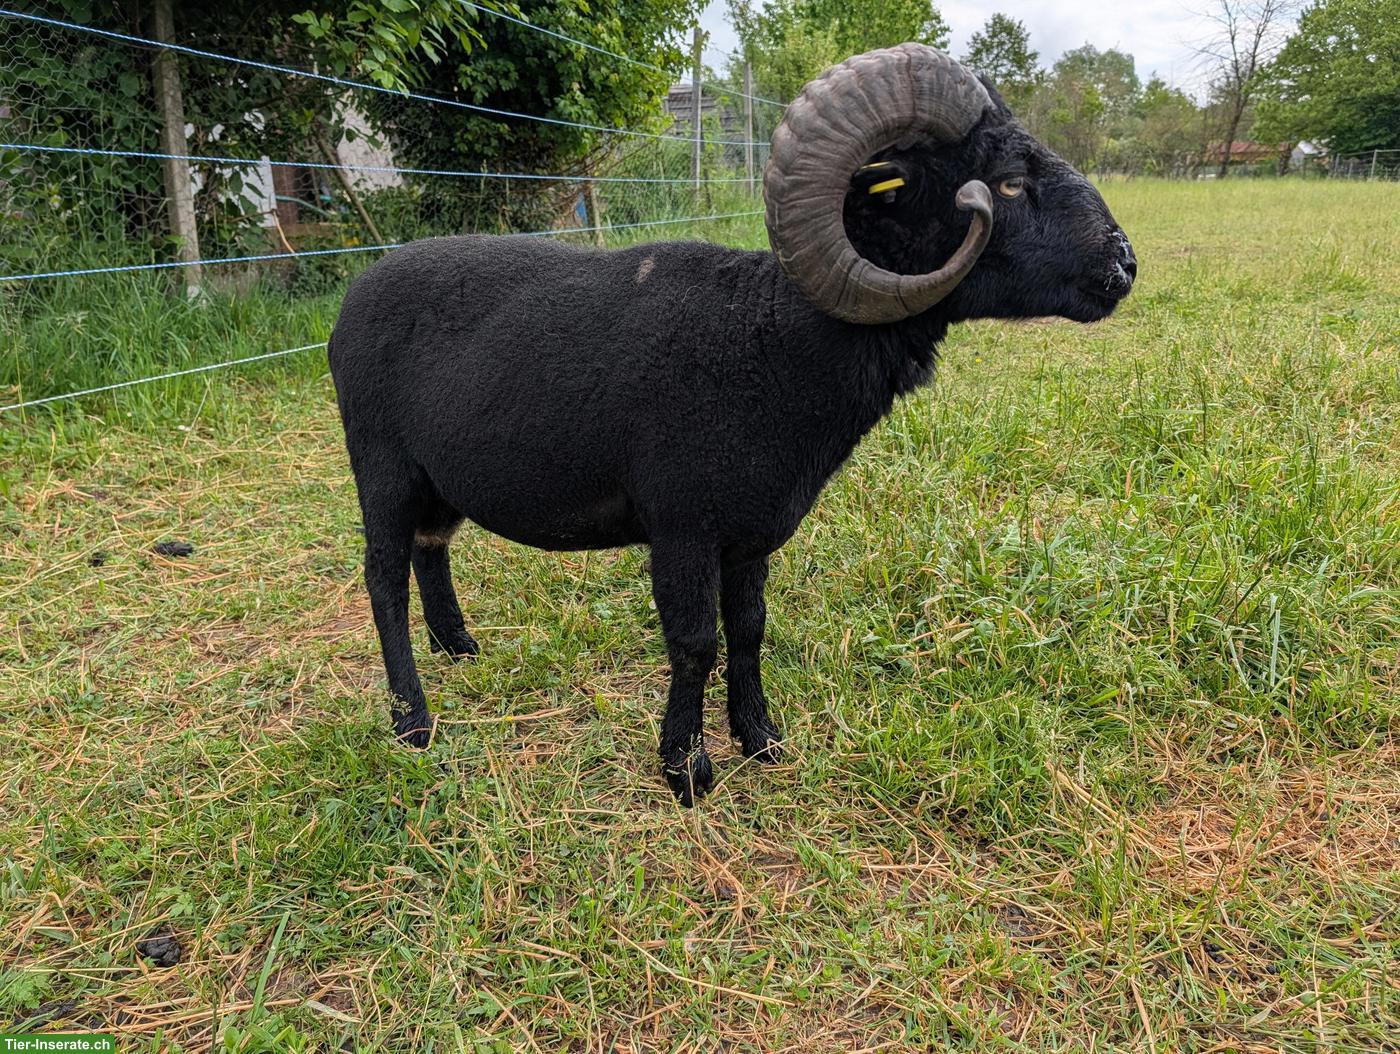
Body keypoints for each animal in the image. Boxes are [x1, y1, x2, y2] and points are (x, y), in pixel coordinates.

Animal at [328, 44, 1137, 805]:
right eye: (1005, 179)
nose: (1125, 266)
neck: (766, 338)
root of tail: (354, 294)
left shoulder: (752, 533)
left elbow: (749, 631)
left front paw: (761, 738)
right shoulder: (682, 528)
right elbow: (694, 642)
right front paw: (686, 769)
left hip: (441, 478)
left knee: (431, 550)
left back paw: (459, 647)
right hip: (382, 464)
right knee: (382, 580)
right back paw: (412, 720)